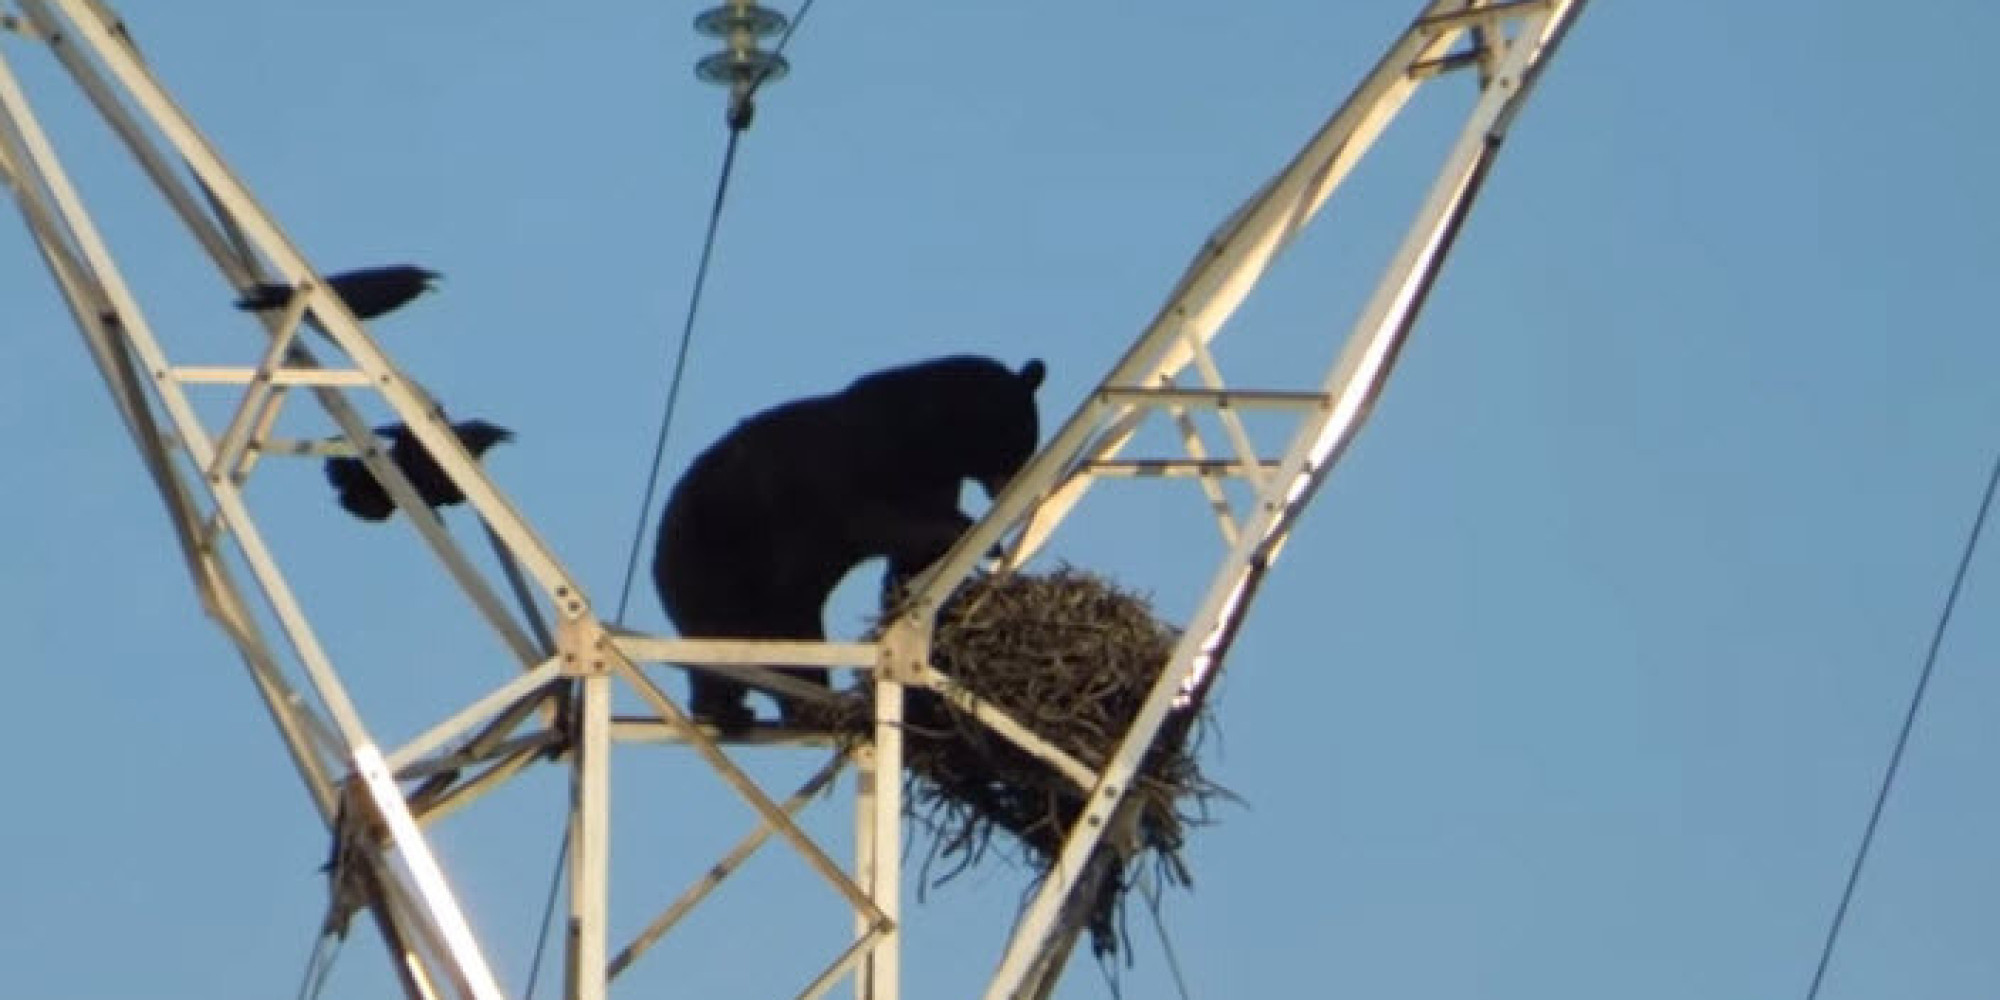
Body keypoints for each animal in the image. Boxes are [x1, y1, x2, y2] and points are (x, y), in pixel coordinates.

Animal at [656, 356, 1056, 732]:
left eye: (1028, 443)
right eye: (1017, 444)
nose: (1010, 487)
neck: (931, 440)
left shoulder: (936, 480)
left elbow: (908, 558)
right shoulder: (859, 462)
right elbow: (873, 518)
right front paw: (976, 537)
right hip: (718, 550)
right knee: (723, 635)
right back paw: (733, 708)